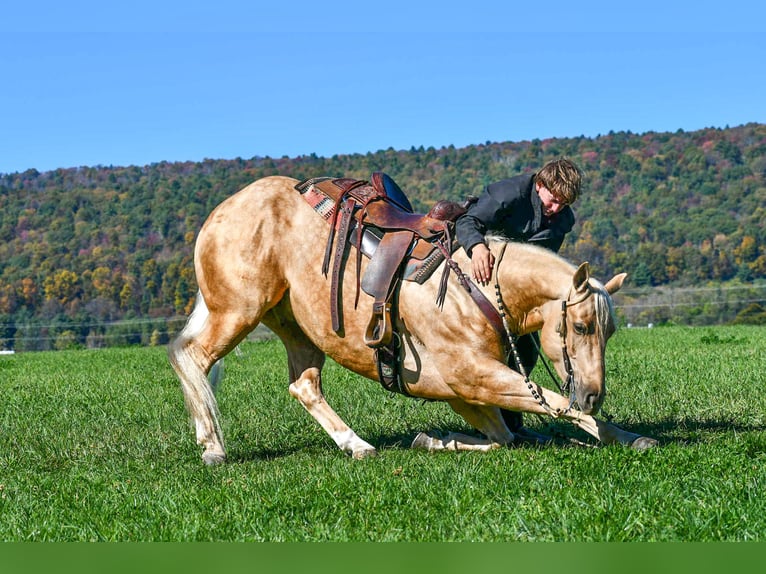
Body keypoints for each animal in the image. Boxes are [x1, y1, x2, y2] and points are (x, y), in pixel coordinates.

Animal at [168, 175, 657, 464]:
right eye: (581, 327)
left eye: (609, 331)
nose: (594, 395)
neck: (475, 287)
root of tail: (223, 209)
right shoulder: (473, 377)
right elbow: (552, 404)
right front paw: (616, 433)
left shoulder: (467, 393)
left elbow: (509, 433)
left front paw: (437, 440)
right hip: (238, 310)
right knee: (192, 358)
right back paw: (212, 447)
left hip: (296, 326)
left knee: (303, 386)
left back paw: (357, 445)